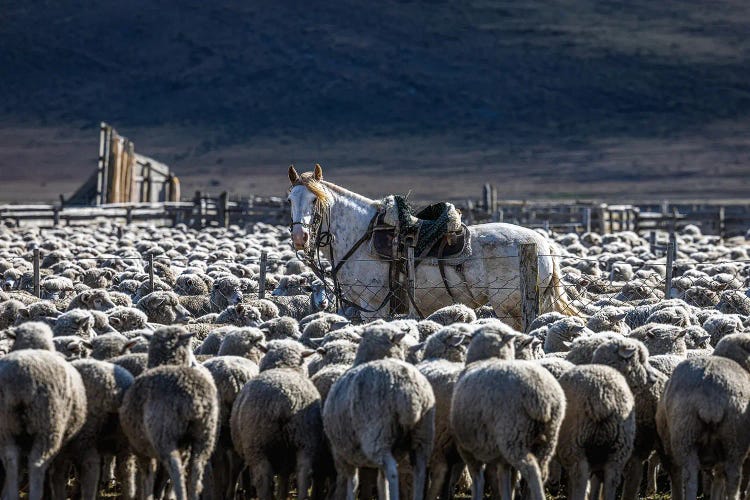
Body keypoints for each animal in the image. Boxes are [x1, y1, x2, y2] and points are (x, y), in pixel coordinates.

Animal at [286, 165, 576, 328]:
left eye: (315, 200)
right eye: (290, 199)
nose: (300, 236)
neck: (361, 236)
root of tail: (543, 244)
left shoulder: (374, 306)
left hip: (510, 308)